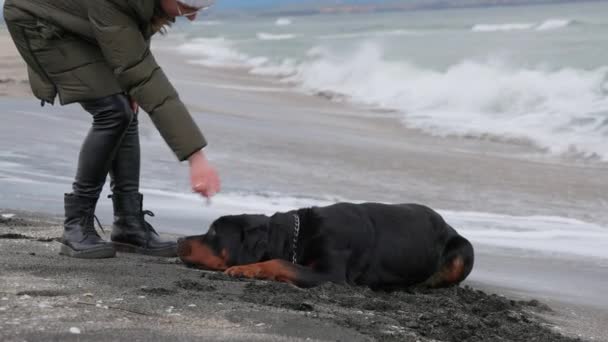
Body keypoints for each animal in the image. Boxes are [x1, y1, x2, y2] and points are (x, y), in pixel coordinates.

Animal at [176, 202, 476, 290]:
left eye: (213, 232)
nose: (178, 240)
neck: (298, 237)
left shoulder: (331, 274)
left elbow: (279, 262)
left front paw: (246, 268)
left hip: (465, 250)